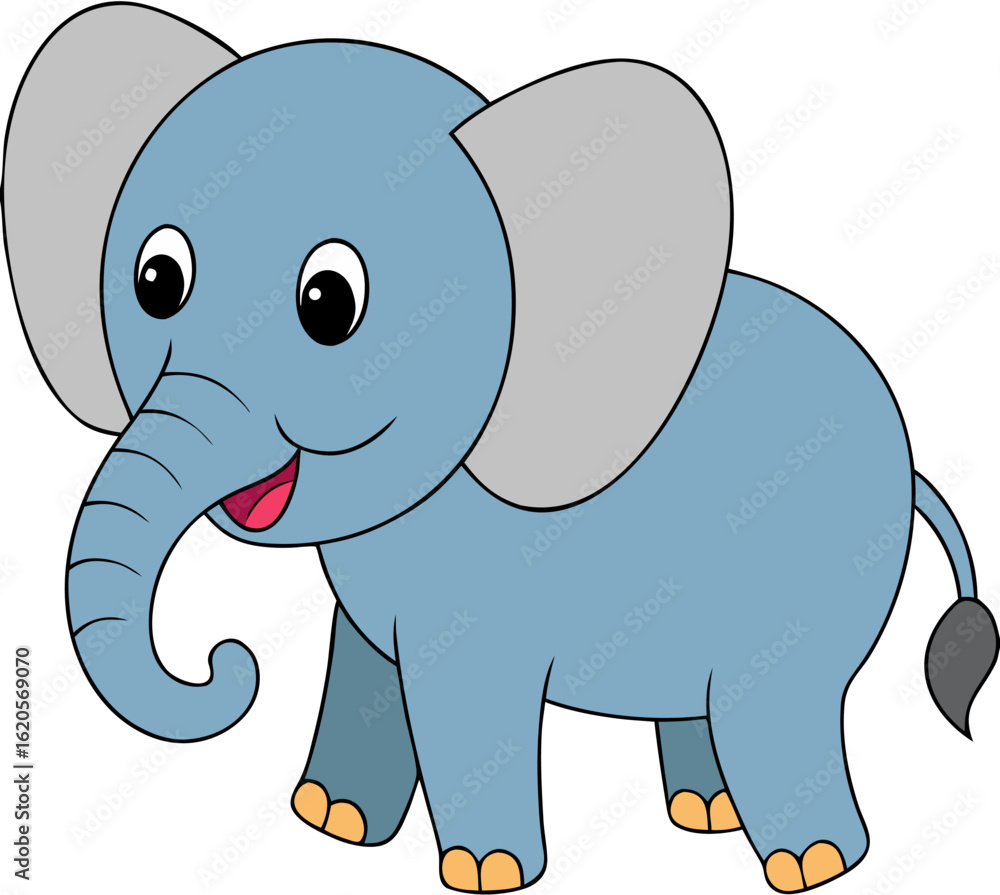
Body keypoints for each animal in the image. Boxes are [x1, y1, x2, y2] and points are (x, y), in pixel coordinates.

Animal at [4, 4, 997, 893]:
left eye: (329, 303)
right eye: (155, 280)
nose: (228, 660)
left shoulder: (483, 594)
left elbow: (466, 698)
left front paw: (485, 873)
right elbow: (365, 665)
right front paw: (333, 823)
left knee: (780, 704)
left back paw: (811, 864)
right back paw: (707, 817)